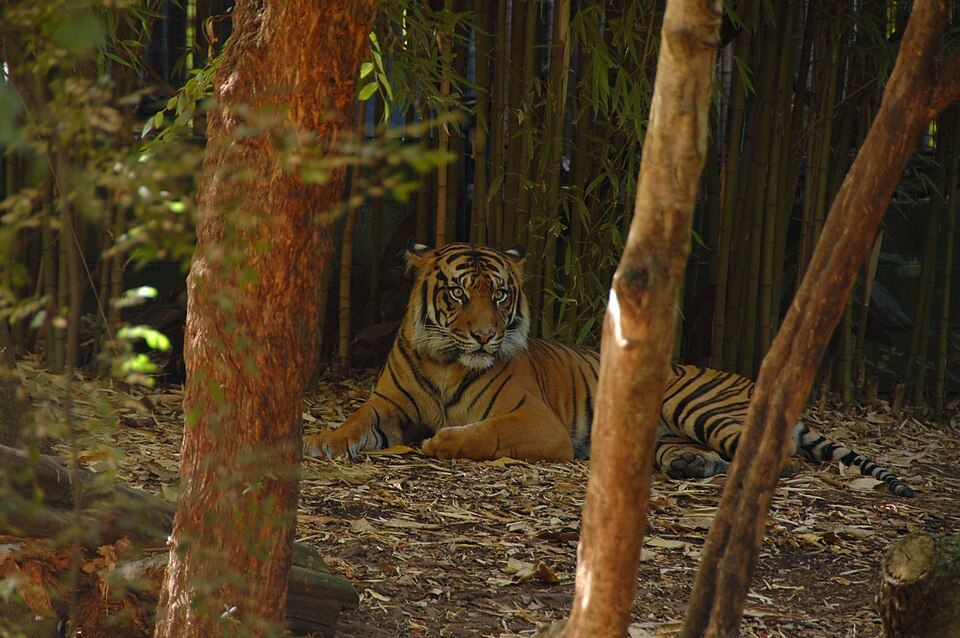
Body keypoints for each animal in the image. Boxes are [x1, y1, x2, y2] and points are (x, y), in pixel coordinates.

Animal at [303, 242, 915, 498]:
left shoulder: (535, 421)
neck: (449, 361)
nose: (483, 335)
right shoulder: (387, 405)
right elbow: (353, 423)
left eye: (499, 295)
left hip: (696, 404)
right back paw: (691, 466)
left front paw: (442, 442)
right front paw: (319, 443)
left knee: (777, 455)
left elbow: (482, 432)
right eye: (458, 293)